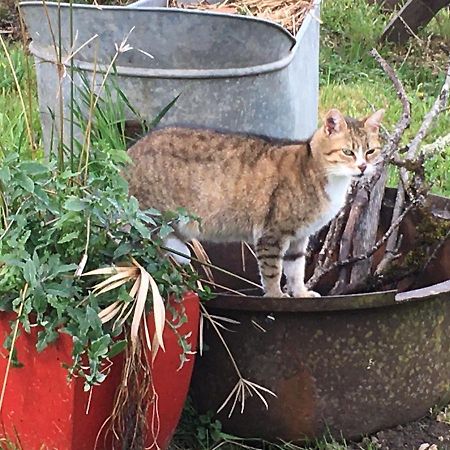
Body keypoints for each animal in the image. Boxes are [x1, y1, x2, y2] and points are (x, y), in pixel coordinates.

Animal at [125, 108, 384, 298]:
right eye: (348, 152)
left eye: (370, 151)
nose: (363, 167)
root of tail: (129, 153)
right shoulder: (272, 234)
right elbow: (272, 272)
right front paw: (276, 296)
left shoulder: (299, 237)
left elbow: (295, 270)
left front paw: (300, 294)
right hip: (149, 219)